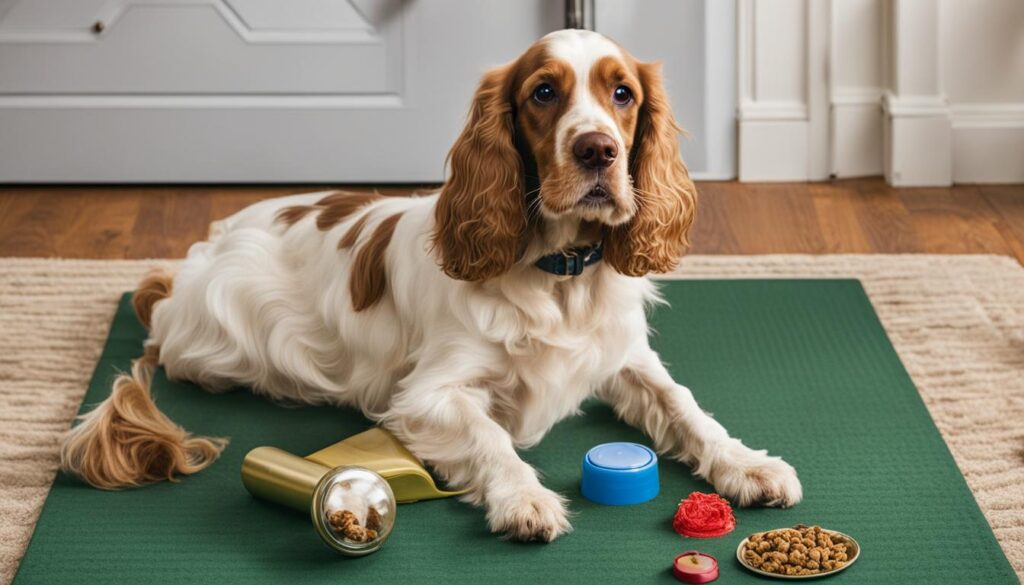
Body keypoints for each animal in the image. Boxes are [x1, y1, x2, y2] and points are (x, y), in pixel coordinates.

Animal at [61, 30, 798, 545]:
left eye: (624, 94)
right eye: (543, 93)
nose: (597, 151)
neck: (558, 274)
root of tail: (193, 260)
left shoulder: (626, 360)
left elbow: (686, 408)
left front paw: (748, 464)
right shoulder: (425, 397)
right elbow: (492, 439)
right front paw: (525, 500)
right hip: (224, 340)